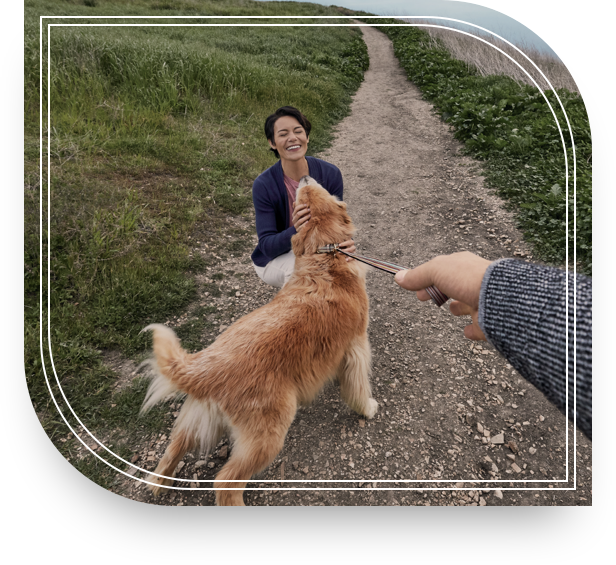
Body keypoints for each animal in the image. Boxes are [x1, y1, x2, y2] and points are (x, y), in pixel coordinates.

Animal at [140, 174, 378, 504]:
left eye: (307, 193)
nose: (304, 175)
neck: (324, 254)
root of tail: (203, 369)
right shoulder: (356, 347)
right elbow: (358, 386)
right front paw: (367, 408)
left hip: (196, 419)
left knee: (173, 449)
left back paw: (158, 483)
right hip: (269, 433)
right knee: (225, 482)